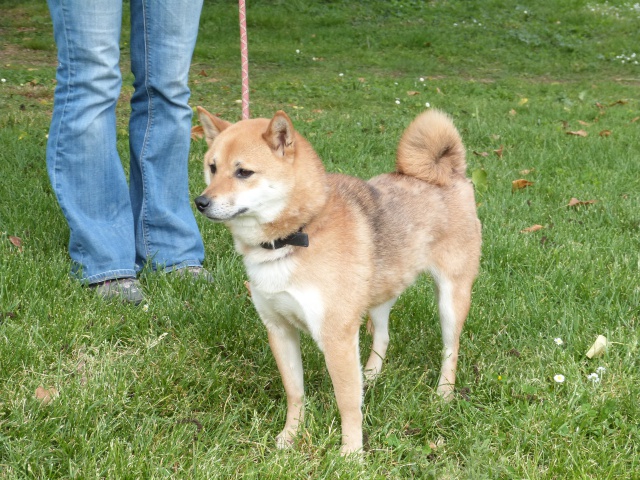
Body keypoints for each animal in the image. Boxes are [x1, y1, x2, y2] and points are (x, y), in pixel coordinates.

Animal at [194, 107, 480, 456]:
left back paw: (444, 394)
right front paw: (290, 435)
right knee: (383, 335)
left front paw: (351, 454)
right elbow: (295, 392)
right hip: (377, 295)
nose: (201, 202)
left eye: (244, 172)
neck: (297, 234)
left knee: (450, 350)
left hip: (451, 299)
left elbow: (347, 402)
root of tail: (449, 172)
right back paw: (370, 374)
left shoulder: (336, 337)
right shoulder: (279, 328)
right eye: (212, 167)